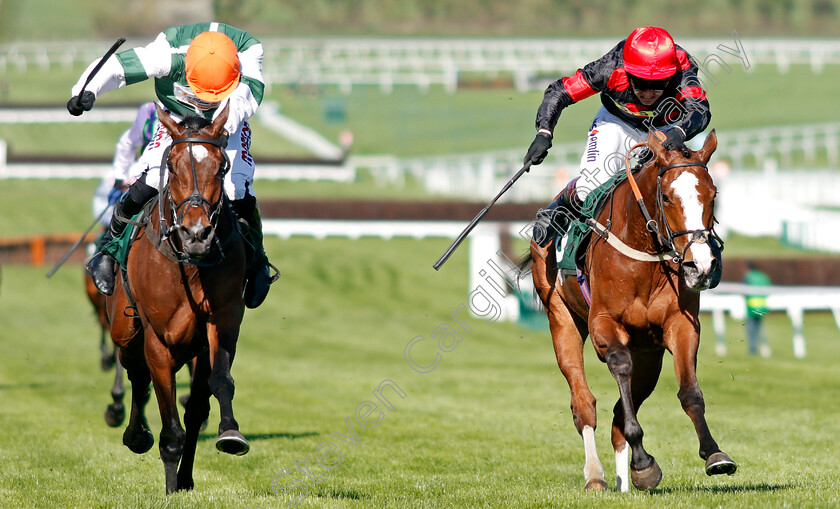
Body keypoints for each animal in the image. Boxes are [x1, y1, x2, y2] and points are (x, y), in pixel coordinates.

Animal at [106, 104, 249, 492]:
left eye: (221, 167)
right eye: (172, 165)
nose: (197, 234)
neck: (189, 263)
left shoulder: (221, 321)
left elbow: (217, 384)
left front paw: (230, 433)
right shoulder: (158, 338)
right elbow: (170, 428)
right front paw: (171, 487)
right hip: (125, 327)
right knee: (135, 373)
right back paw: (134, 433)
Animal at [524, 129, 736, 490]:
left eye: (714, 194)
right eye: (666, 197)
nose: (701, 266)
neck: (644, 255)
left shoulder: (680, 326)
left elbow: (690, 391)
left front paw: (714, 454)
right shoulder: (603, 325)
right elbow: (619, 367)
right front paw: (643, 461)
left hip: (649, 355)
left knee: (618, 415)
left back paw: (626, 480)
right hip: (562, 318)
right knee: (584, 404)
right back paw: (596, 475)